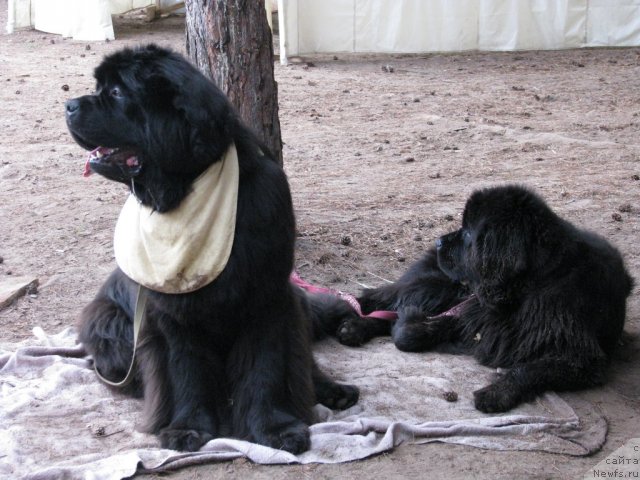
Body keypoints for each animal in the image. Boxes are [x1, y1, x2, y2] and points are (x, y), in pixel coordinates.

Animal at [65, 45, 358, 454]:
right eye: (99, 89)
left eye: (118, 93)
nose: (69, 105)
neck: (184, 191)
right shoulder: (170, 316)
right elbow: (185, 371)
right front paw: (186, 428)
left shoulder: (267, 298)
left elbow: (267, 367)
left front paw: (275, 428)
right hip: (113, 328)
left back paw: (334, 390)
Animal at [318, 184, 632, 412]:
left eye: (469, 232)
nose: (438, 241)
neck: (525, 290)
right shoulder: (475, 313)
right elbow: (412, 330)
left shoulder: (581, 358)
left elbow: (531, 369)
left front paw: (497, 392)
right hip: (439, 287)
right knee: (382, 298)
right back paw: (354, 322)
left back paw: (355, 327)